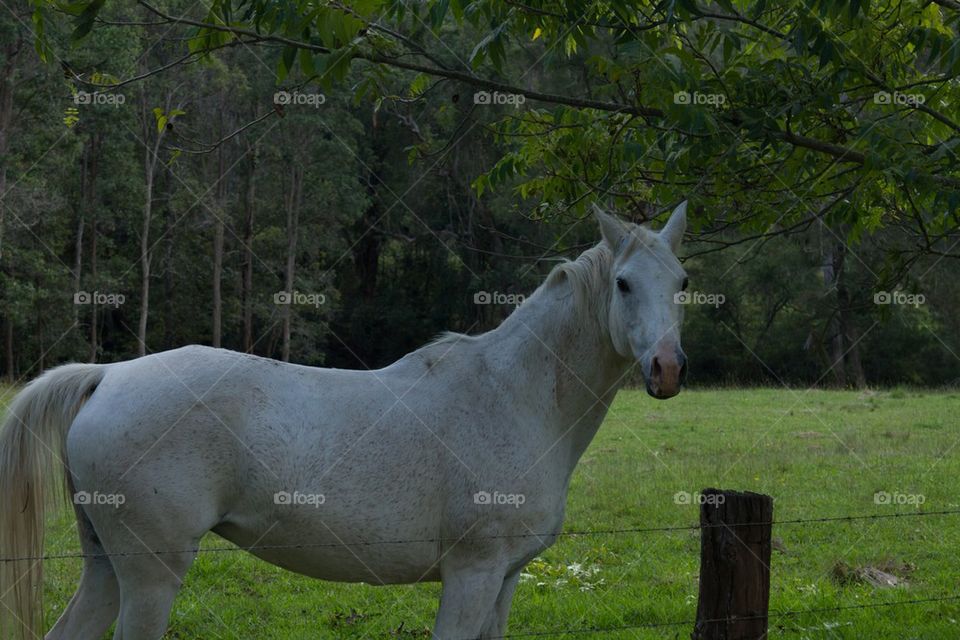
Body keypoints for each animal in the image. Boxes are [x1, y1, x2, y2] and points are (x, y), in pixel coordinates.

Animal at [0, 202, 688, 636]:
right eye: (623, 283)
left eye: (682, 280)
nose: (667, 369)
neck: (512, 396)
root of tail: (108, 375)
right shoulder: (472, 575)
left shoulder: (505, 579)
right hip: (151, 575)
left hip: (107, 569)